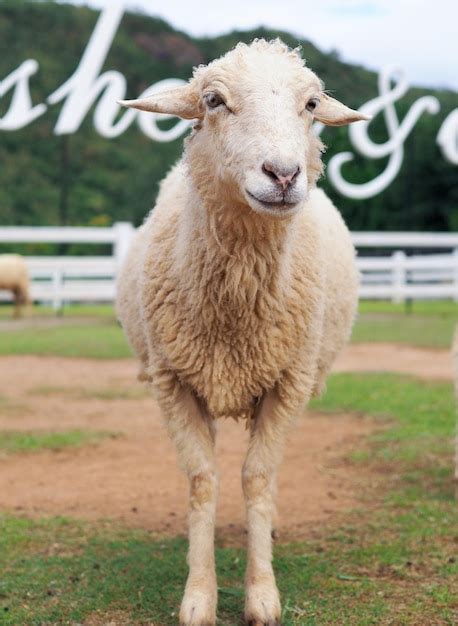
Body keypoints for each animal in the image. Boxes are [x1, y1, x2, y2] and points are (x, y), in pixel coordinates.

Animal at [117, 40, 368, 624]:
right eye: (213, 100)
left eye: (312, 104)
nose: (283, 174)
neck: (237, 303)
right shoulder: (174, 383)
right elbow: (203, 481)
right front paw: (198, 595)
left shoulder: (288, 383)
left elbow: (256, 478)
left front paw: (262, 594)